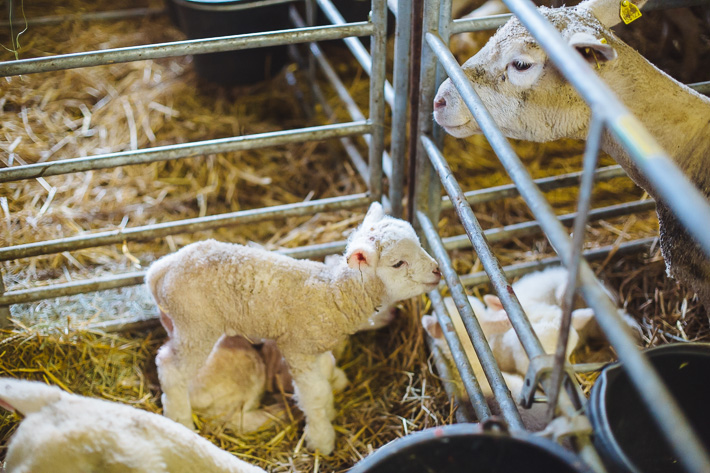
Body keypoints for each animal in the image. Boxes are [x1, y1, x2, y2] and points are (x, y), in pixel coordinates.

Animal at [147, 202, 442, 454]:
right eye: (398, 263)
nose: (438, 271)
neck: (334, 294)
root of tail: (162, 267)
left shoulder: (315, 347)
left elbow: (325, 378)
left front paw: (330, 408)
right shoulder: (298, 348)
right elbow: (314, 394)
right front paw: (321, 440)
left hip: (179, 324)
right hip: (197, 326)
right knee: (172, 369)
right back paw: (182, 422)